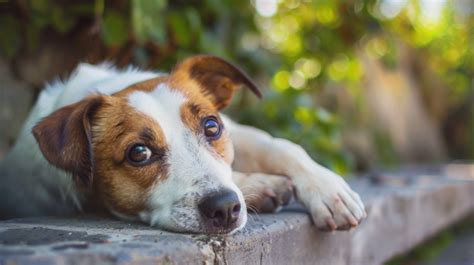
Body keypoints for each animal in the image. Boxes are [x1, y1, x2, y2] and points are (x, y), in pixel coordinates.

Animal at [0, 55, 366, 233]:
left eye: (211, 127)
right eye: (138, 152)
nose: (225, 207)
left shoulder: (234, 129)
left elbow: (280, 146)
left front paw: (328, 190)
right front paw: (258, 185)